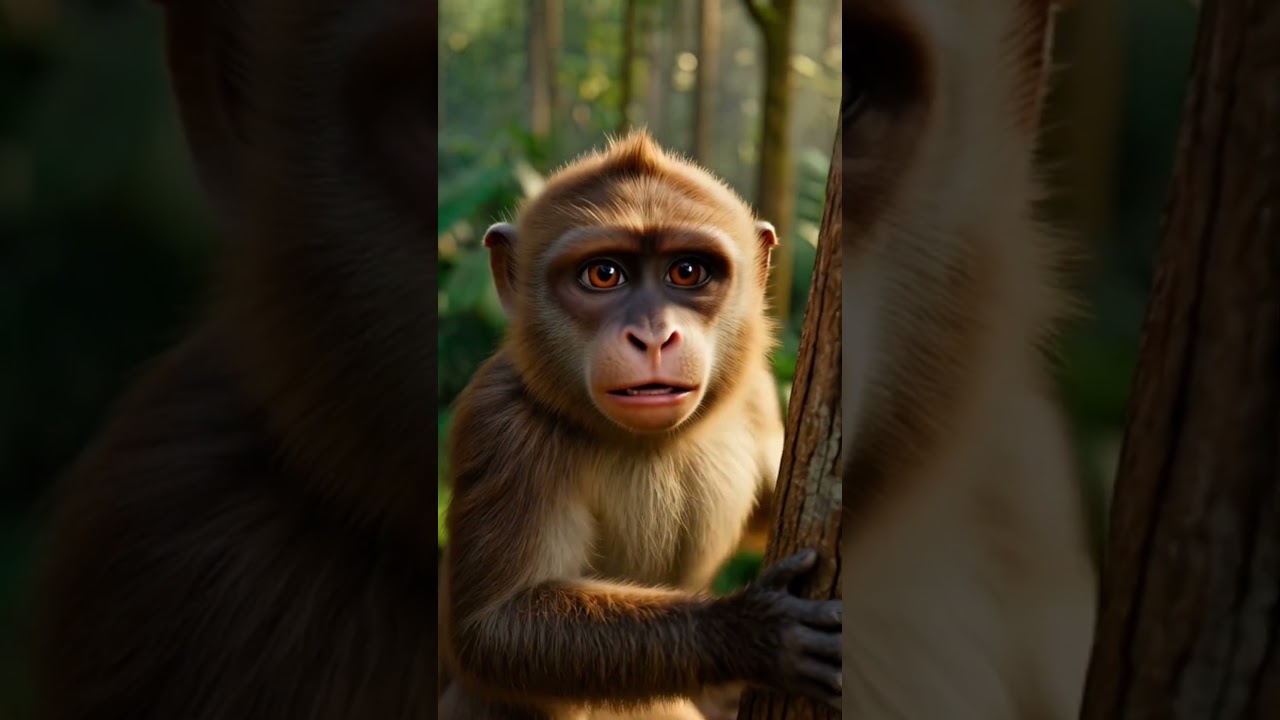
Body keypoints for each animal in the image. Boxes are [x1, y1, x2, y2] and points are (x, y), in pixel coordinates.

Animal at [435, 130, 842, 720]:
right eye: (604, 274)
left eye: (687, 272)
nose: (653, 337)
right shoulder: (500, 425)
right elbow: (491, 630)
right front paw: (754, 632)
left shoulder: (758, 394)